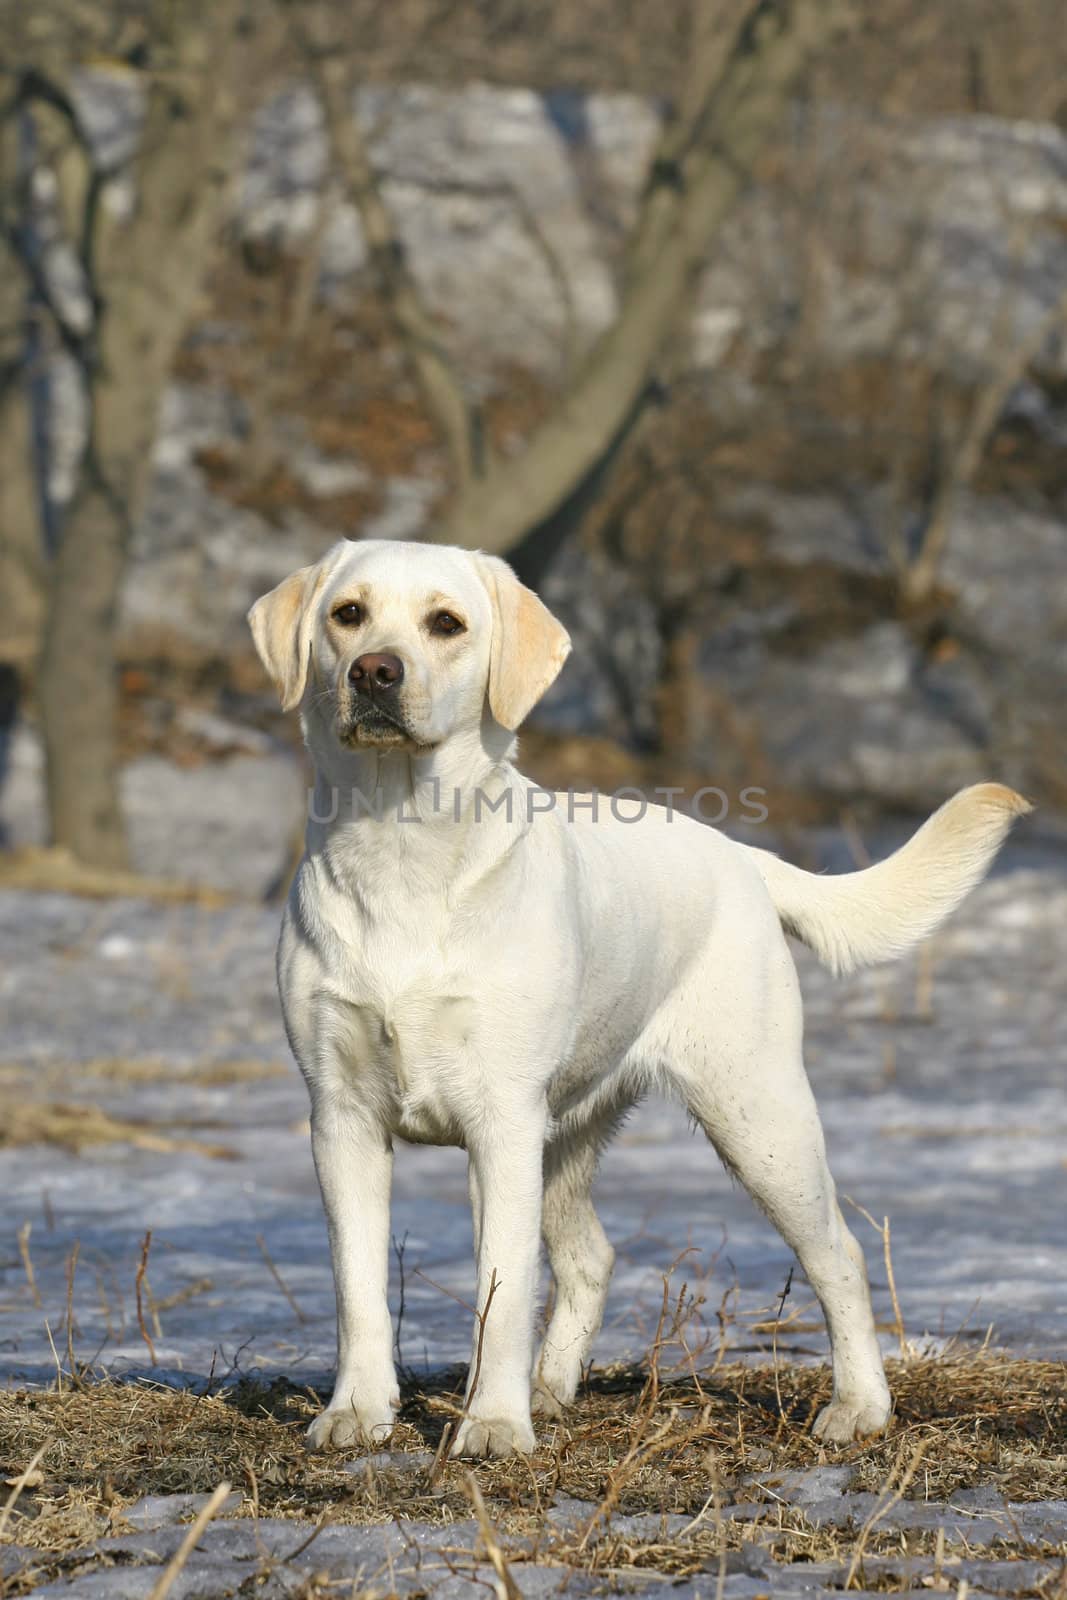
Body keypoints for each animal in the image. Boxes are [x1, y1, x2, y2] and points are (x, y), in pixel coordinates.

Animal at [247, 540, 1023, 1465]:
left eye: (446, 623)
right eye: (348, 615)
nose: (374, 671)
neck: (400, 847)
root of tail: (743, 855)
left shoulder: (499, 1120)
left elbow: (501, 1286)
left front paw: (493, 1425)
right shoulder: (342, 1117)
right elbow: (357, 1287)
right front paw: (358, 1413)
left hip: (756, 1118)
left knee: (839, 1253)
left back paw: (857, 1407)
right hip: (568, 1135)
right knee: (592, 1258)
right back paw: (550, 1391)